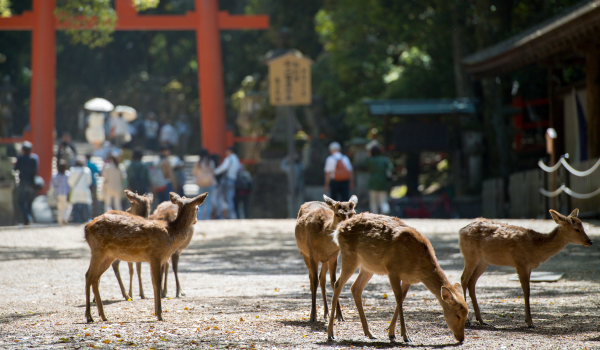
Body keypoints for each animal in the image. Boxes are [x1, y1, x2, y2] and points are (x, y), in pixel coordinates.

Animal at [83, 191, 207, 322]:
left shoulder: (156, 259)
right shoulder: (156, 255)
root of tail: (86, 228)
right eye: (197, 208)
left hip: (108, 256)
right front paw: (160, 315)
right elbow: (157, 282)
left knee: (96, 278)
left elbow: (153, 282)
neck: (171, 234)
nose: (195, 221)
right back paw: (89, 316)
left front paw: (156, 312)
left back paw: (103, 316)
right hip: (97, 250)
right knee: (89, 276)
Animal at [296, 194, 356, 322]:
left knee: (322, 279)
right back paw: (316, 314)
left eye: (353, 213)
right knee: (312, 279)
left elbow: (334, 282)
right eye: (337, 214)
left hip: (325, 260)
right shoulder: (312, 254)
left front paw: (339, 316)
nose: (348, 227)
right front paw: (313, 316)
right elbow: (314, 281)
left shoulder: (334, 256)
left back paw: (326, 313)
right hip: (305, 254)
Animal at [328, 212, 468, 344]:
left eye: (467, 315)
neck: (418, 265)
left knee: (355, 288)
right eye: (458, 315)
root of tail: (338, 230)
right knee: (337, 284)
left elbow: (402, 298)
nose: (461, 338)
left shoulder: (408, 279)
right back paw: (330, 334)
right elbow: (399, 298)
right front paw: (406, 336)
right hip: (349, 256)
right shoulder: (392, 270)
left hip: (368, 267)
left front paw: (391, 334)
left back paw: (370, 333)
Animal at [460, 208, 592, 328]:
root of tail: (461, 230)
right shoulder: (521, 263)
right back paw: (467, 320)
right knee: (463, 279)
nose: (590, 241)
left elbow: (527, 290)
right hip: (470, 254)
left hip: (484, 261)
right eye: (576, 229)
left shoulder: (529, 267)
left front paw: (528, 320)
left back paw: (481, 320)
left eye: (583, 227)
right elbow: (526, 291)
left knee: (471, 281)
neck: (536, 247)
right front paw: (530, 323)